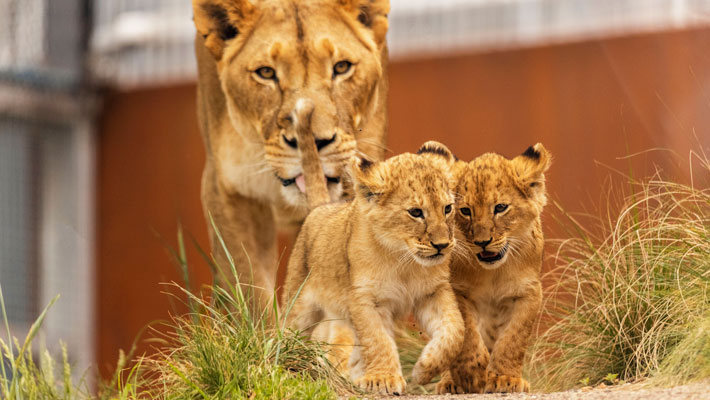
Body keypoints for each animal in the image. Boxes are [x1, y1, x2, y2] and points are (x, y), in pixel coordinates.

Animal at [284, 143, 464, 395]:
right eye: (416, 212)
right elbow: (378, 340)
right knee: (289, 329)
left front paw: (425, 368)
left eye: (447, 208)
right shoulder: (366, 299)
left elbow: (455, 331)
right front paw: (384, 379)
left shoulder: (433, 292)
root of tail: (320, 208)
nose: (442, 245)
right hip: (300, 303)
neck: (404, 261)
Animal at [437, 143, 551, 394]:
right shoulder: (457, 290)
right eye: (466, 211)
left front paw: (505, 379)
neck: (493, 272)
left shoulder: (528, 292)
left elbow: (513, 338)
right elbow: (467, 334)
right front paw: (471, 375)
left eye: (500, 207)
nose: (482, 242)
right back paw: (450, 382)